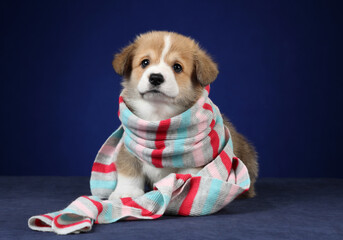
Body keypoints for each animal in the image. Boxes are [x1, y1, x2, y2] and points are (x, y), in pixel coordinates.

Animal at [109, 31, 258, 201]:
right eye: (145, 62)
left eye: (177, 67)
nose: (155, 77)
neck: (158, 118)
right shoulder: (129, 149)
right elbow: (128, 171)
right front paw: (126, 192)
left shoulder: (195, 160)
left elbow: (189, 177)